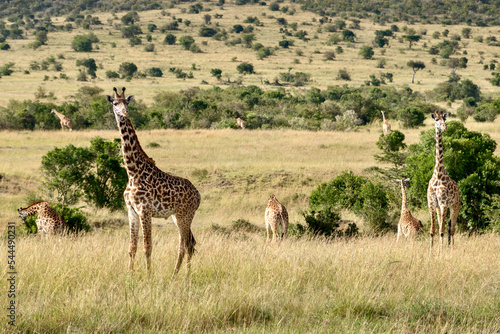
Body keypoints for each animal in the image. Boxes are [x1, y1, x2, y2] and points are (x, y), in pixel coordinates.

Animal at [106, 87, 201, 276]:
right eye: (115, 103)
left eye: (127, 102)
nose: (125, 113)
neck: (133, 172)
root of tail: (198, 194)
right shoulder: (131, 211)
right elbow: (132, 247)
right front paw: (130, 274)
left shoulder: (145, 210)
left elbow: (147, 247)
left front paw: (148, 275)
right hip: (177, 216)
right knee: (189, 244)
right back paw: (182, 274)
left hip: (185, 215)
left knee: (185, 245)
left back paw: (180, 275)